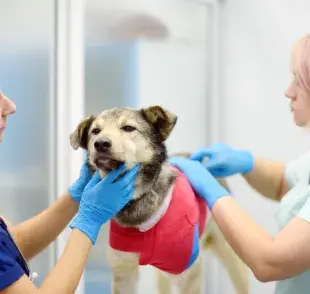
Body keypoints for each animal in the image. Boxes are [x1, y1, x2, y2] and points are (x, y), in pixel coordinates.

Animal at [69, 105, 249, 294]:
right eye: (95, 131)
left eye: (128, 128)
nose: (101, 143)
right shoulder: (123, 271)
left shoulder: (189, 274)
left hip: (233, 258)